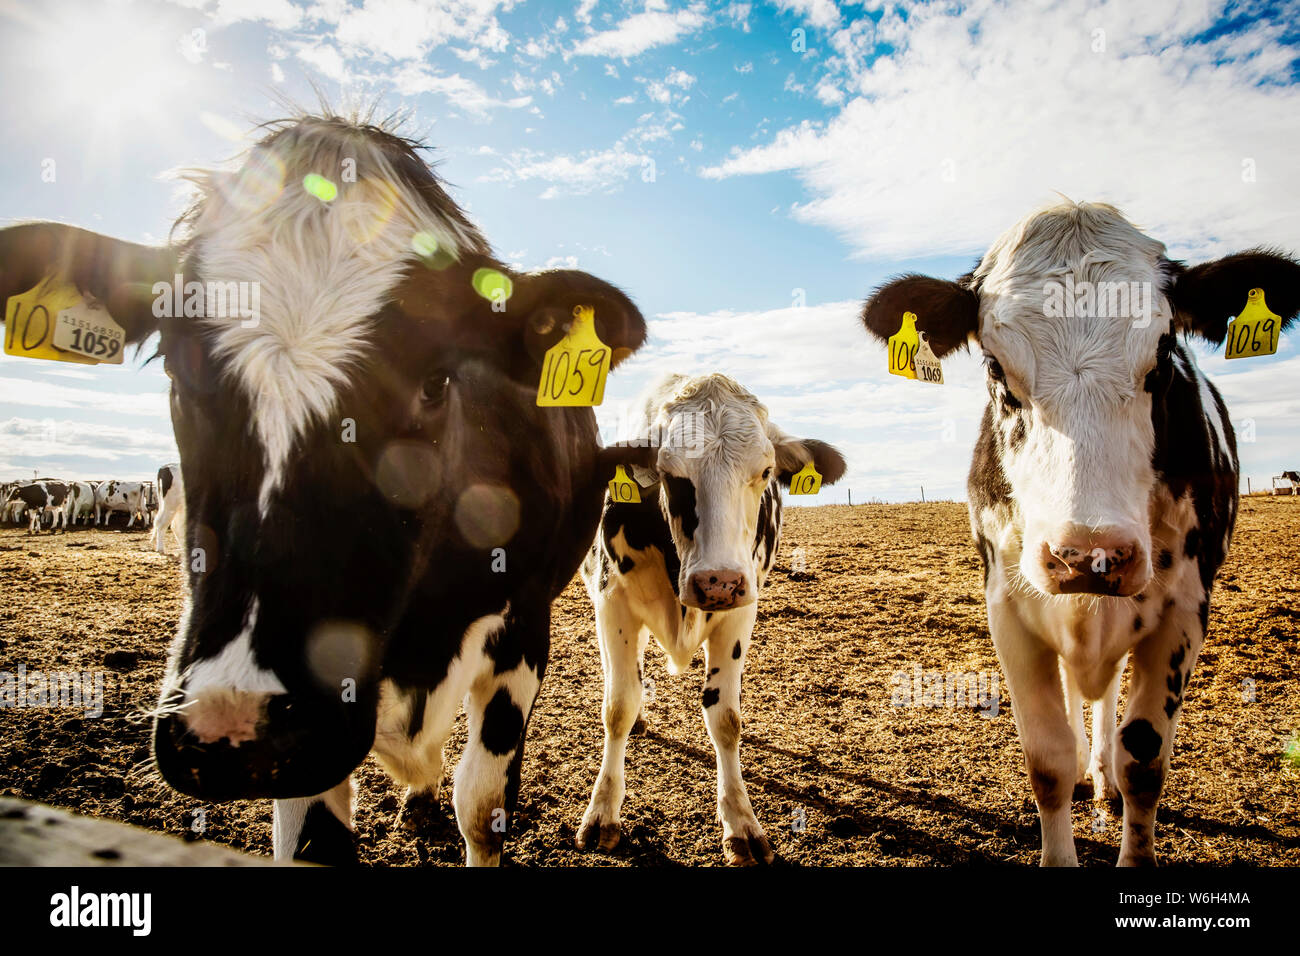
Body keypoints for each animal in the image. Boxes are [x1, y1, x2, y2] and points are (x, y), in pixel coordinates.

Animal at [0, 111, 650, 868]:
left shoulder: (524, 621)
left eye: (436, 379)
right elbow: (316, 840)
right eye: (174, 364)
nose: (236, 728)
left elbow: (482, 807)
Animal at [577, 374, 842, 868]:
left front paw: (741, 823)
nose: (718, 582)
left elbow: (726, 719)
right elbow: (617, 707)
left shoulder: (739, 613)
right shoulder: (612, 602)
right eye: (669, 473)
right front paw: (602, 812)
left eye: (765, 472)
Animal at [863, 201, 1300, 868]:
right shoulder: (1009, 610)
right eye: (995, 367)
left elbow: (1144, 759)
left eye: (1164, 355)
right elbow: (1046, 757)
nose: (1089, 555)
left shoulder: (1183, 614)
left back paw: (1102, 776)